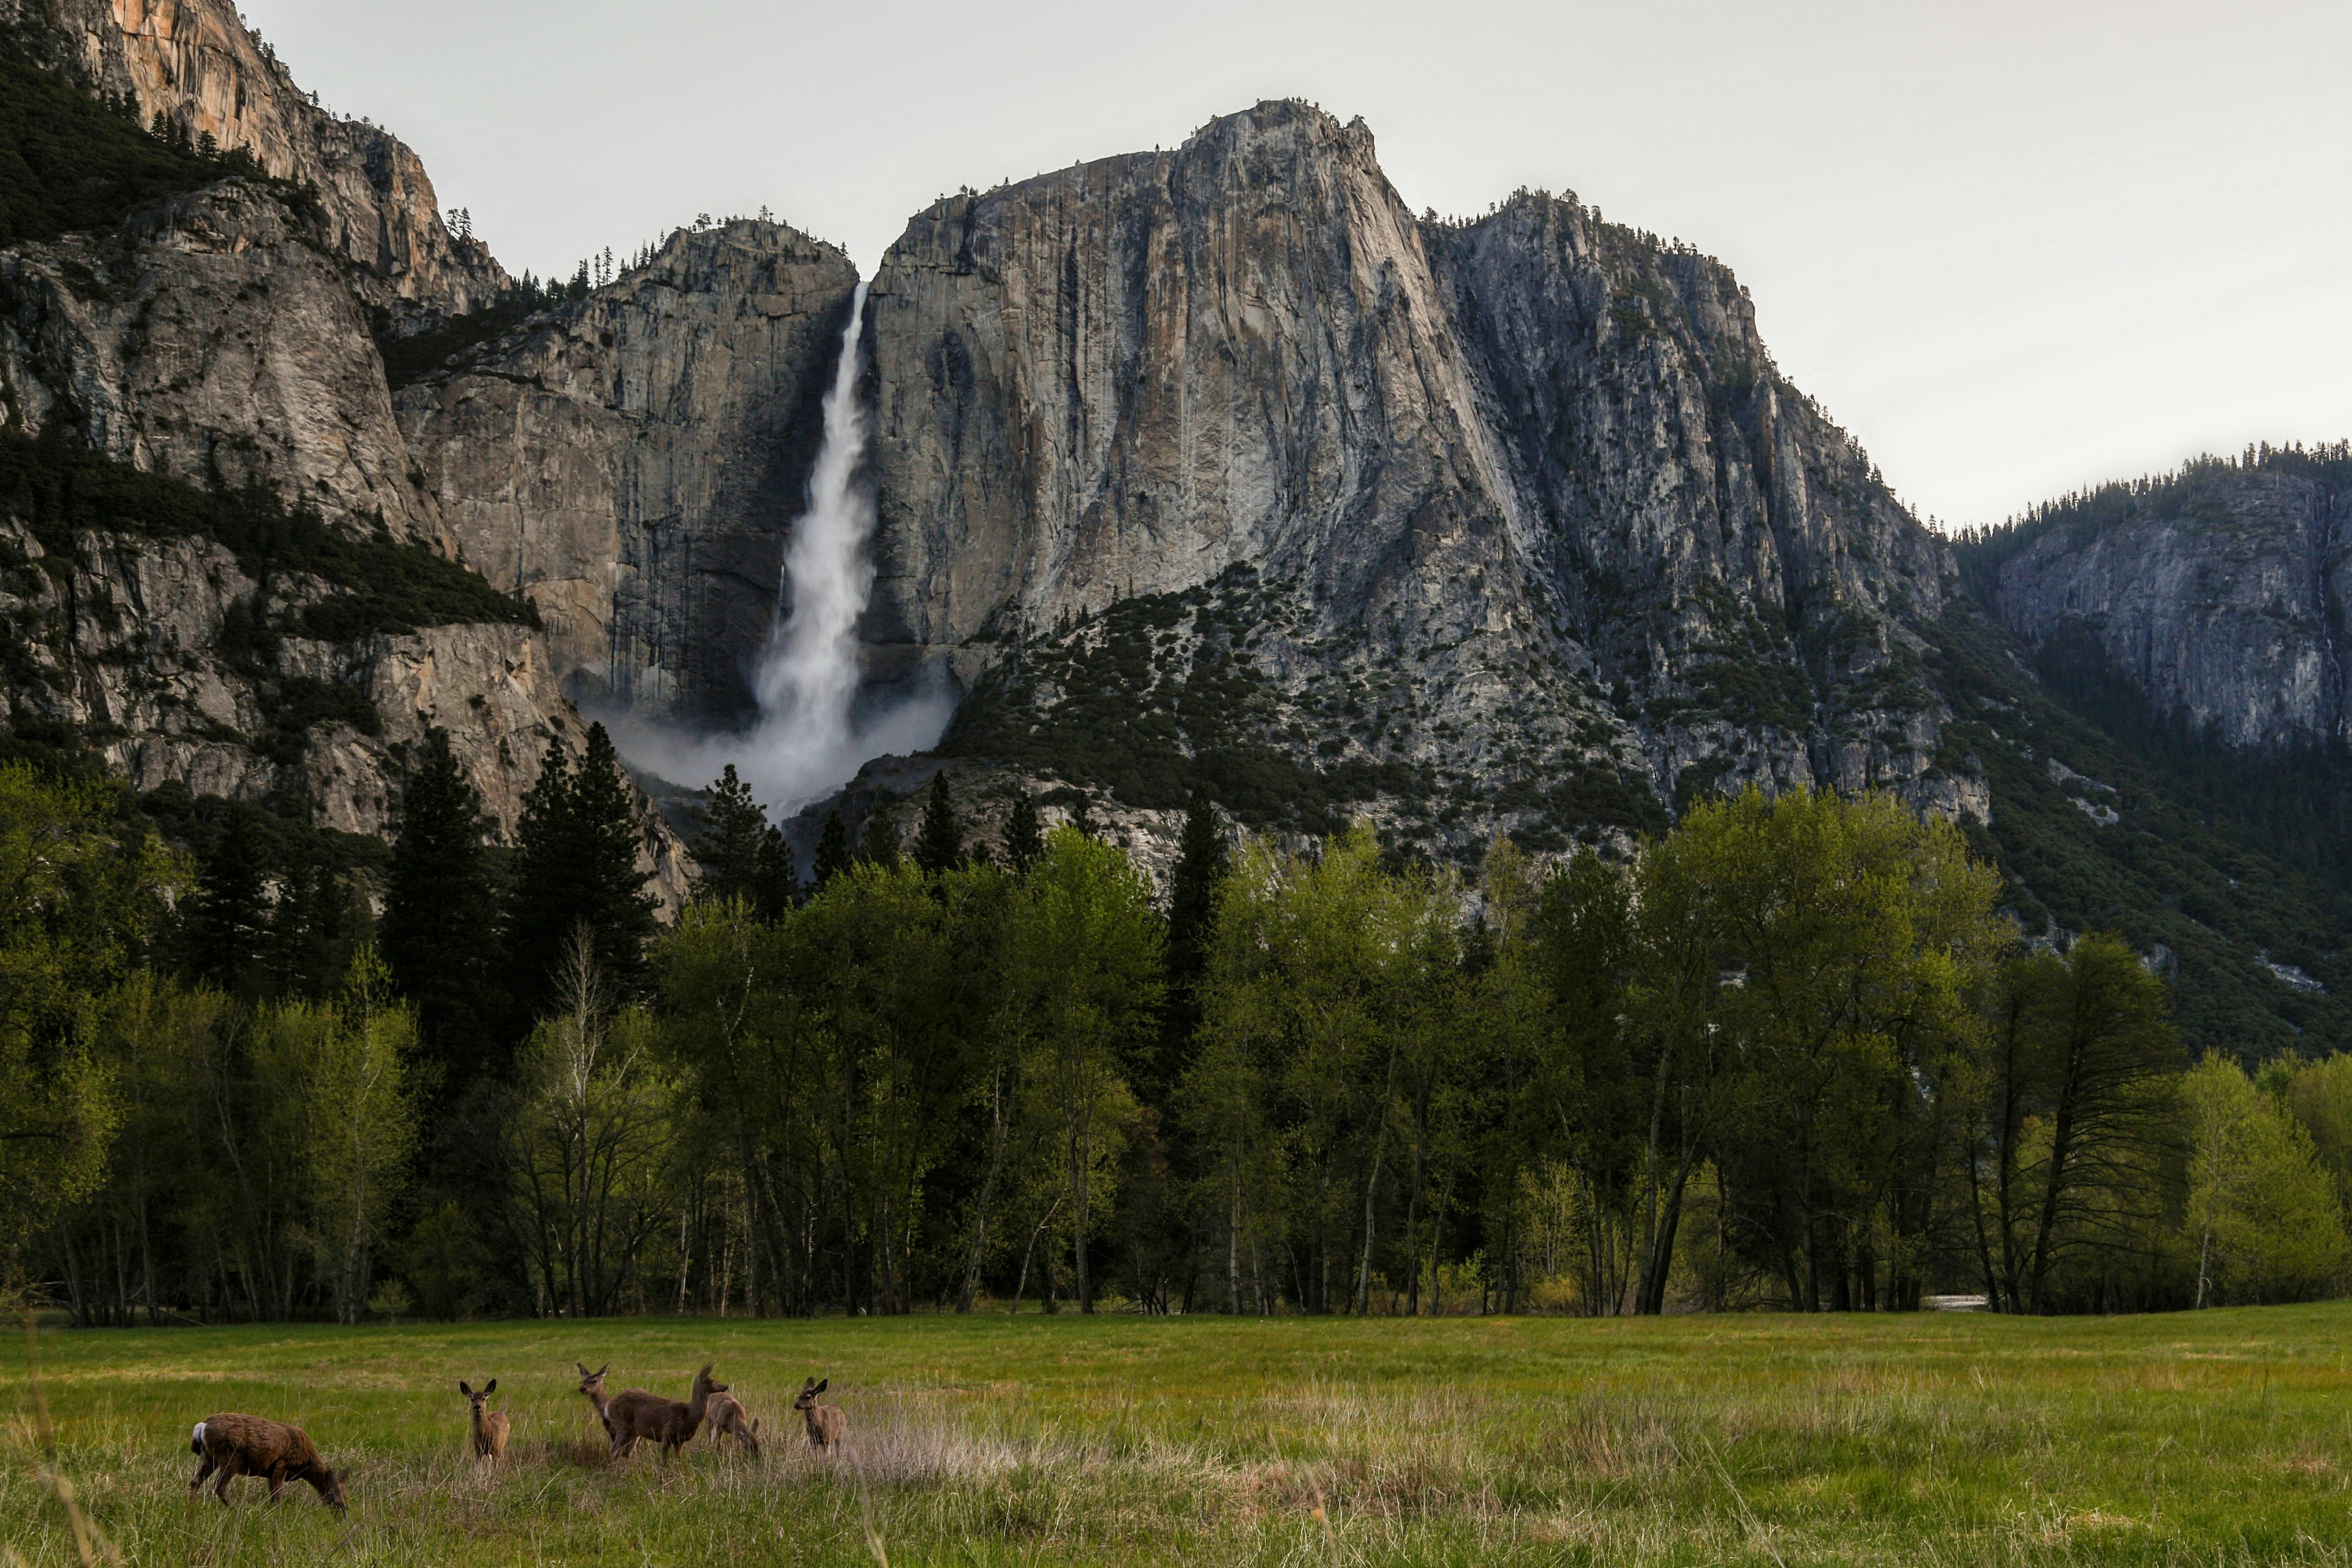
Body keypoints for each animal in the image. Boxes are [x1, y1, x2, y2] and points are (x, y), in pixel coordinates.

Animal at [189, 1420, 348, 1513]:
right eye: (335, 1491)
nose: (345, 1509)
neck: (306, 1463)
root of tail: (203, 1426)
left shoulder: (270, 1472)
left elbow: (272, 1495)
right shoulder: (282, 1464)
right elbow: (277, 1496)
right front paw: (277, 1514)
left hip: (210, 1458)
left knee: (195, 1482)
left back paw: (191, 1510)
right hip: (231, 1457)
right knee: (219, 1486)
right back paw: (239, 1510)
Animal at [458, 1382, 510, 1476]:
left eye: (483, 1398)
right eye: (472, 1399)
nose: (477, 1406)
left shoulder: (496, 1448)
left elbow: (495, 1467)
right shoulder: (477, 1448)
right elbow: (478, 1467)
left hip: (502, 1445)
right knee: (489, 1461)